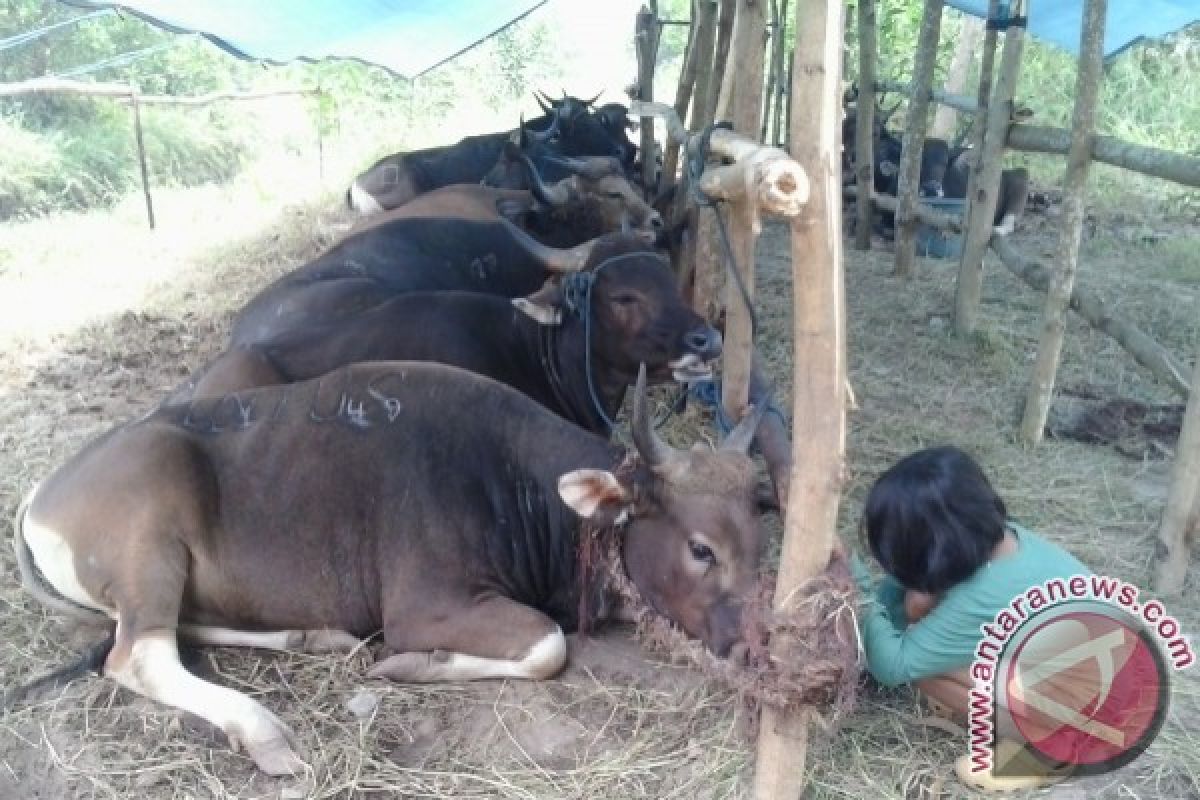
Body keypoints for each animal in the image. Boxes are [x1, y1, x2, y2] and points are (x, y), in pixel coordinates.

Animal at [14, 364, 768, 777]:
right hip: (151, 541)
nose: (755, 647)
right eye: (701, 548)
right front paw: (411, 665)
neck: (520, 488)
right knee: (137, 655)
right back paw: (263, 729)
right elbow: (547, 644)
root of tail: (40, 493)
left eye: (759, 535)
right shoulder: (424, 607)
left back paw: (313, 637)